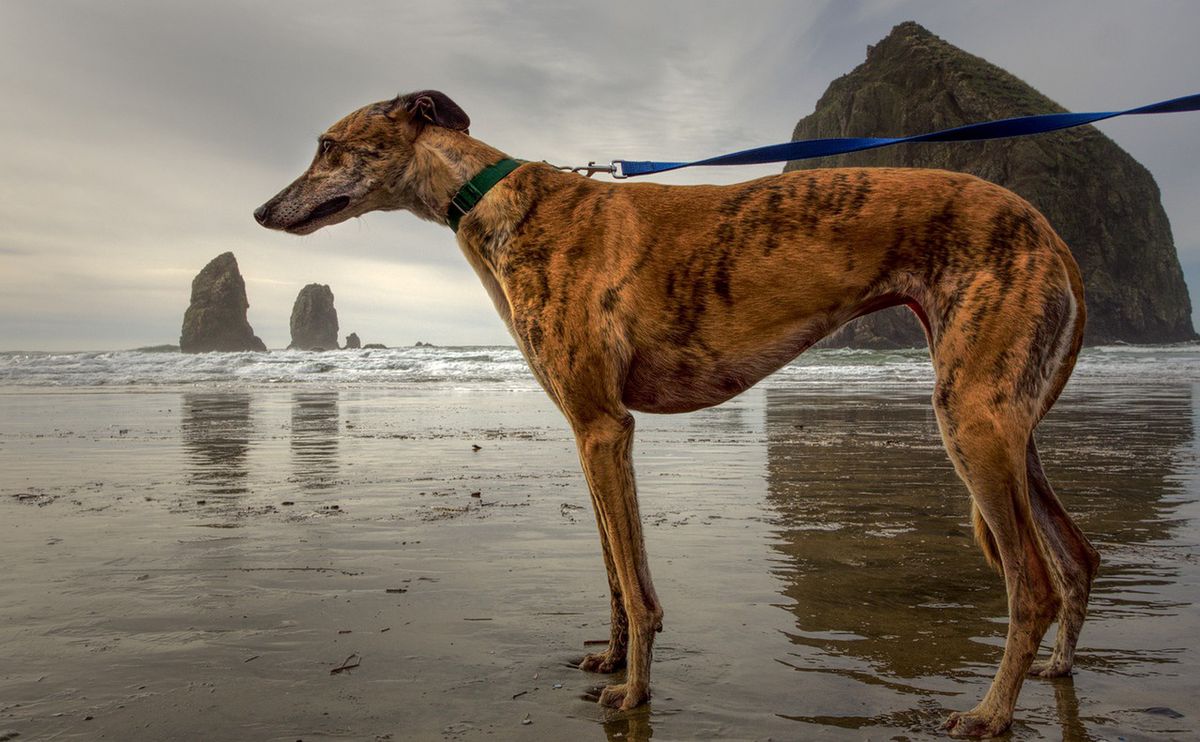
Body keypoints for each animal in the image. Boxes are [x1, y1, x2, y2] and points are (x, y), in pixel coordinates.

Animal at [253, 91, 1099, 734]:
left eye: (329, 146)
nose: (261, 212)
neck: (496, 200)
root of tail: (1050, 233)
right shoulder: (587, 433)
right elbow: (611, 572)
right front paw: (612, 659)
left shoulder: (604, 428)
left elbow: (636, 584)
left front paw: (634, 692)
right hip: (1007, 424)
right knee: (1079, 558)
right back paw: (1059, 671)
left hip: (973, 421)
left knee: (1033, 583)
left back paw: (990, 714)